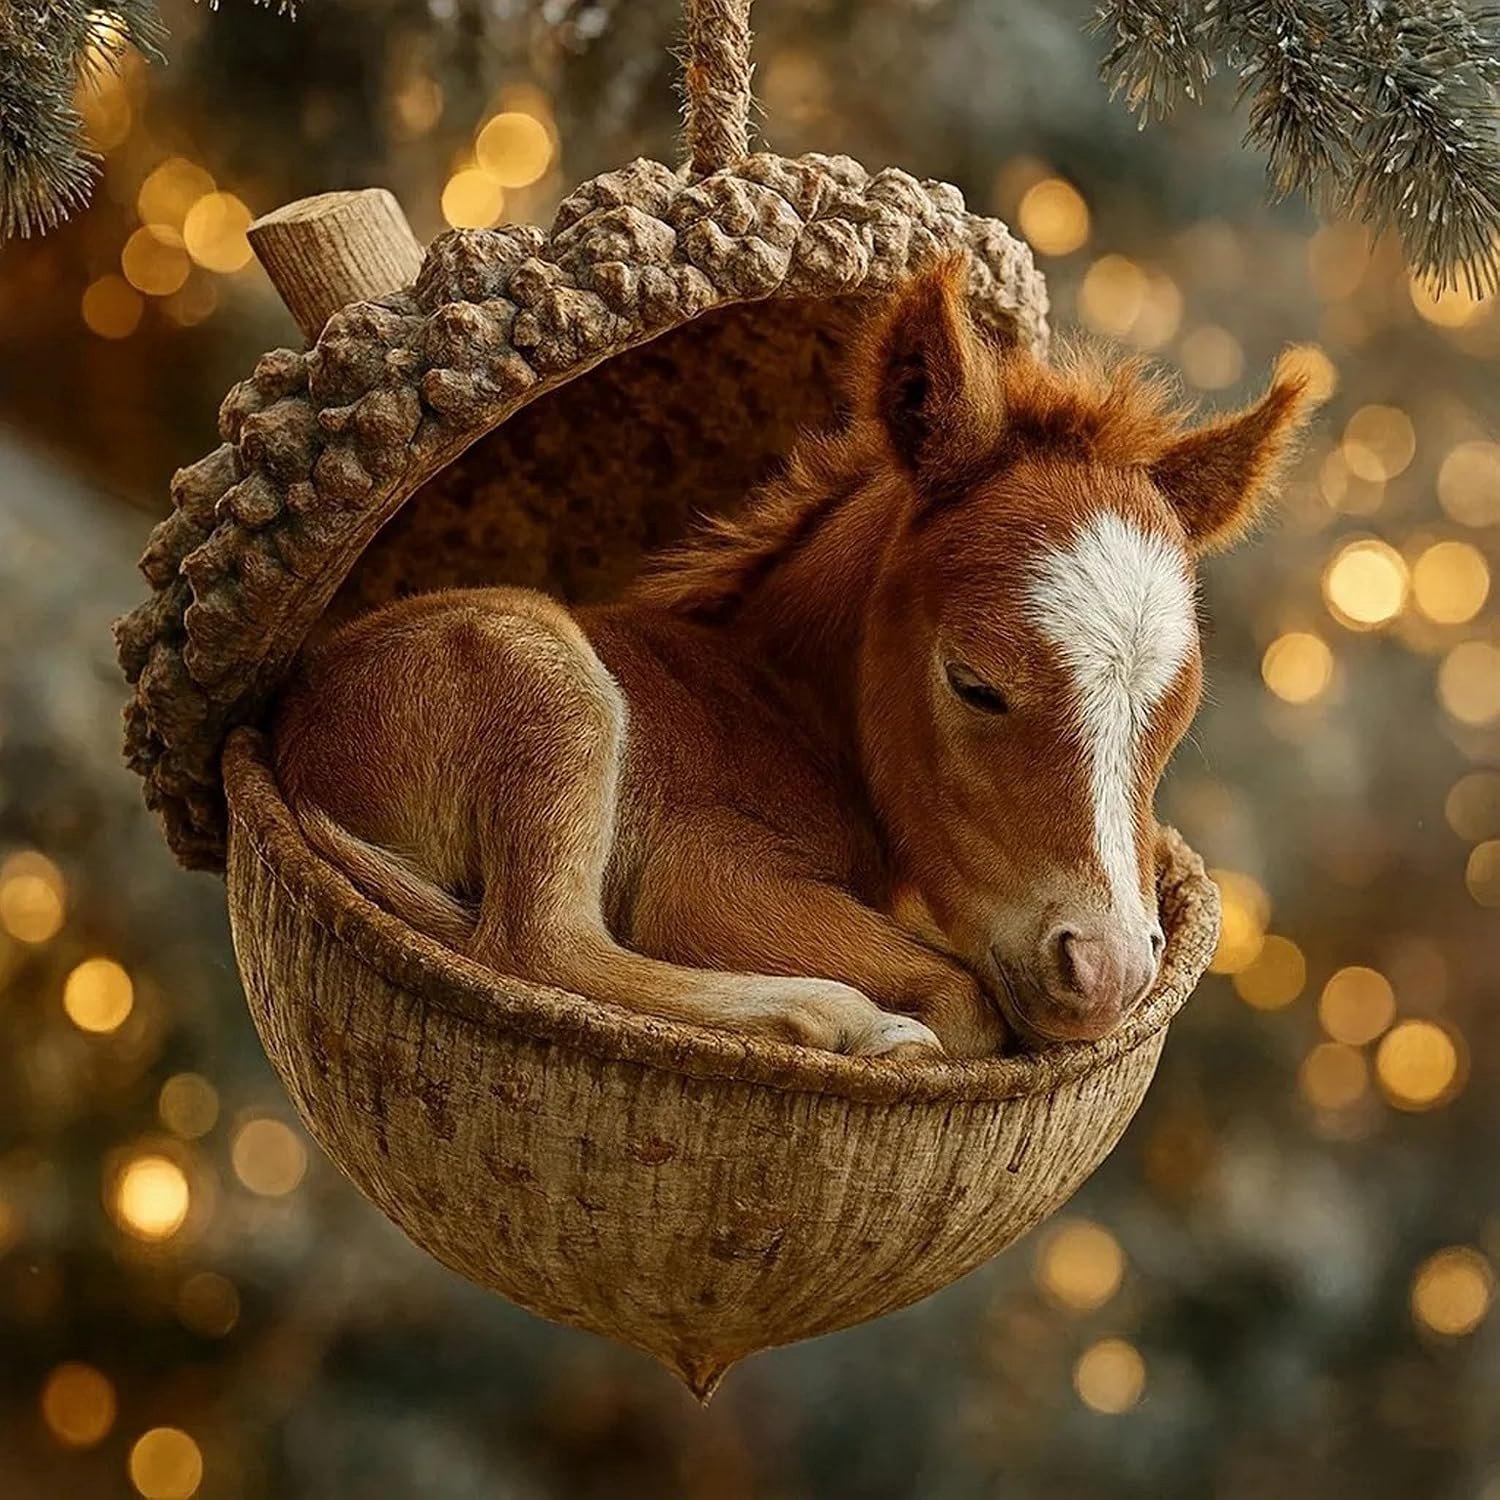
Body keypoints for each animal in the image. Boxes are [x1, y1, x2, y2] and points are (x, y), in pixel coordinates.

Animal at [273, 256, 1314, 1060]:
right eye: (975, 684)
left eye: (1176, 717)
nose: (1107, 972)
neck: (781, 708)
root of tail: (296, 732)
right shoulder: (708, 872)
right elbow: (964, 1000)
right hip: (541, 675)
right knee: (537, 944)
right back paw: (846, 1024)